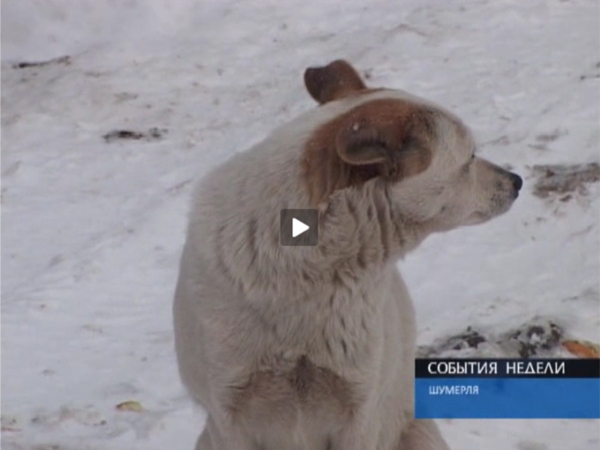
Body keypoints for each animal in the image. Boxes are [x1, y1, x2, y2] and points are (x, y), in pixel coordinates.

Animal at [172, 59, 520, 450]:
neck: (304, 271)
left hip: (418, 434)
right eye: (470, 158)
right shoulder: (229, 417)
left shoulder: (358, 413)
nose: (517, 182)